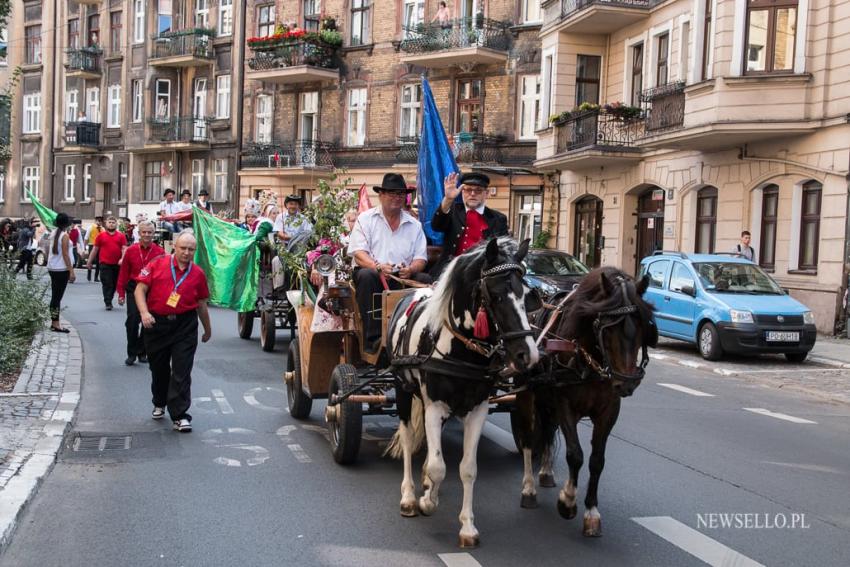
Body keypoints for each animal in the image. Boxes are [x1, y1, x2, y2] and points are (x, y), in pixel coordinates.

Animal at [382, 237, 536, 548]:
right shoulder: (435, 406)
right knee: (407, 438)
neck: (460, 349)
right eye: (497, 295)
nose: (527, 354)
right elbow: (438, 467)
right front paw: (426, 502)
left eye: (527, 296)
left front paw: (467, 527)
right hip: (403, 390)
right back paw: (409, 496)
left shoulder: (477, 410)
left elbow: (467, 468)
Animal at [510, 268, 656, 540]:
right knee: (527, 440)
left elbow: (597, 460)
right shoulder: (566, 405)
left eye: (643, 326)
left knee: (547, 430)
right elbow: (575, 454)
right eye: (608, 329)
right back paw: (529, 489)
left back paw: (546, 473)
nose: (627, 383)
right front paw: (567, 501)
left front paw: (591, 513)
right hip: (526, 395)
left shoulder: (609, 411)